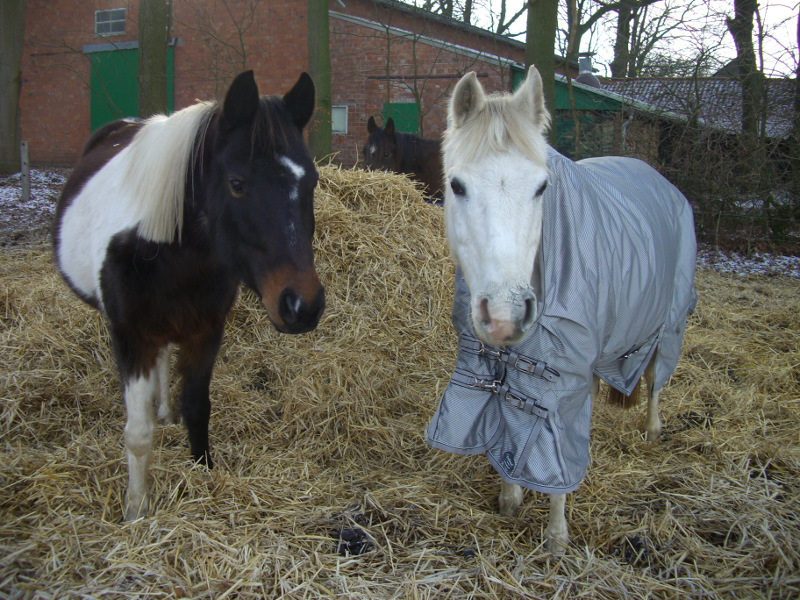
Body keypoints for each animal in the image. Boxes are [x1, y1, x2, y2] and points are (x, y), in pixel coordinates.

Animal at [53, 70, 326, 521]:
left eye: (312, 182)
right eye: (237, 183)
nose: (303, 305)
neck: (168, 250)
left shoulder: (205, 331)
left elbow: (197, 409)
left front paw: (203, 471)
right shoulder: (131, 336)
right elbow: (138, 432)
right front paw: (136, 509)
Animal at [425, 66, 697, 553]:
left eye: (542, 187)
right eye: (456, 185)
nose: (507, 312)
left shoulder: (563, 376)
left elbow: (556, 454)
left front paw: (556, 536)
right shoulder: (504, 365)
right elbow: (508, 422)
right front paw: (511, 497)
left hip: (669, 326)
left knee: (655, 379)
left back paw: (652, 429)